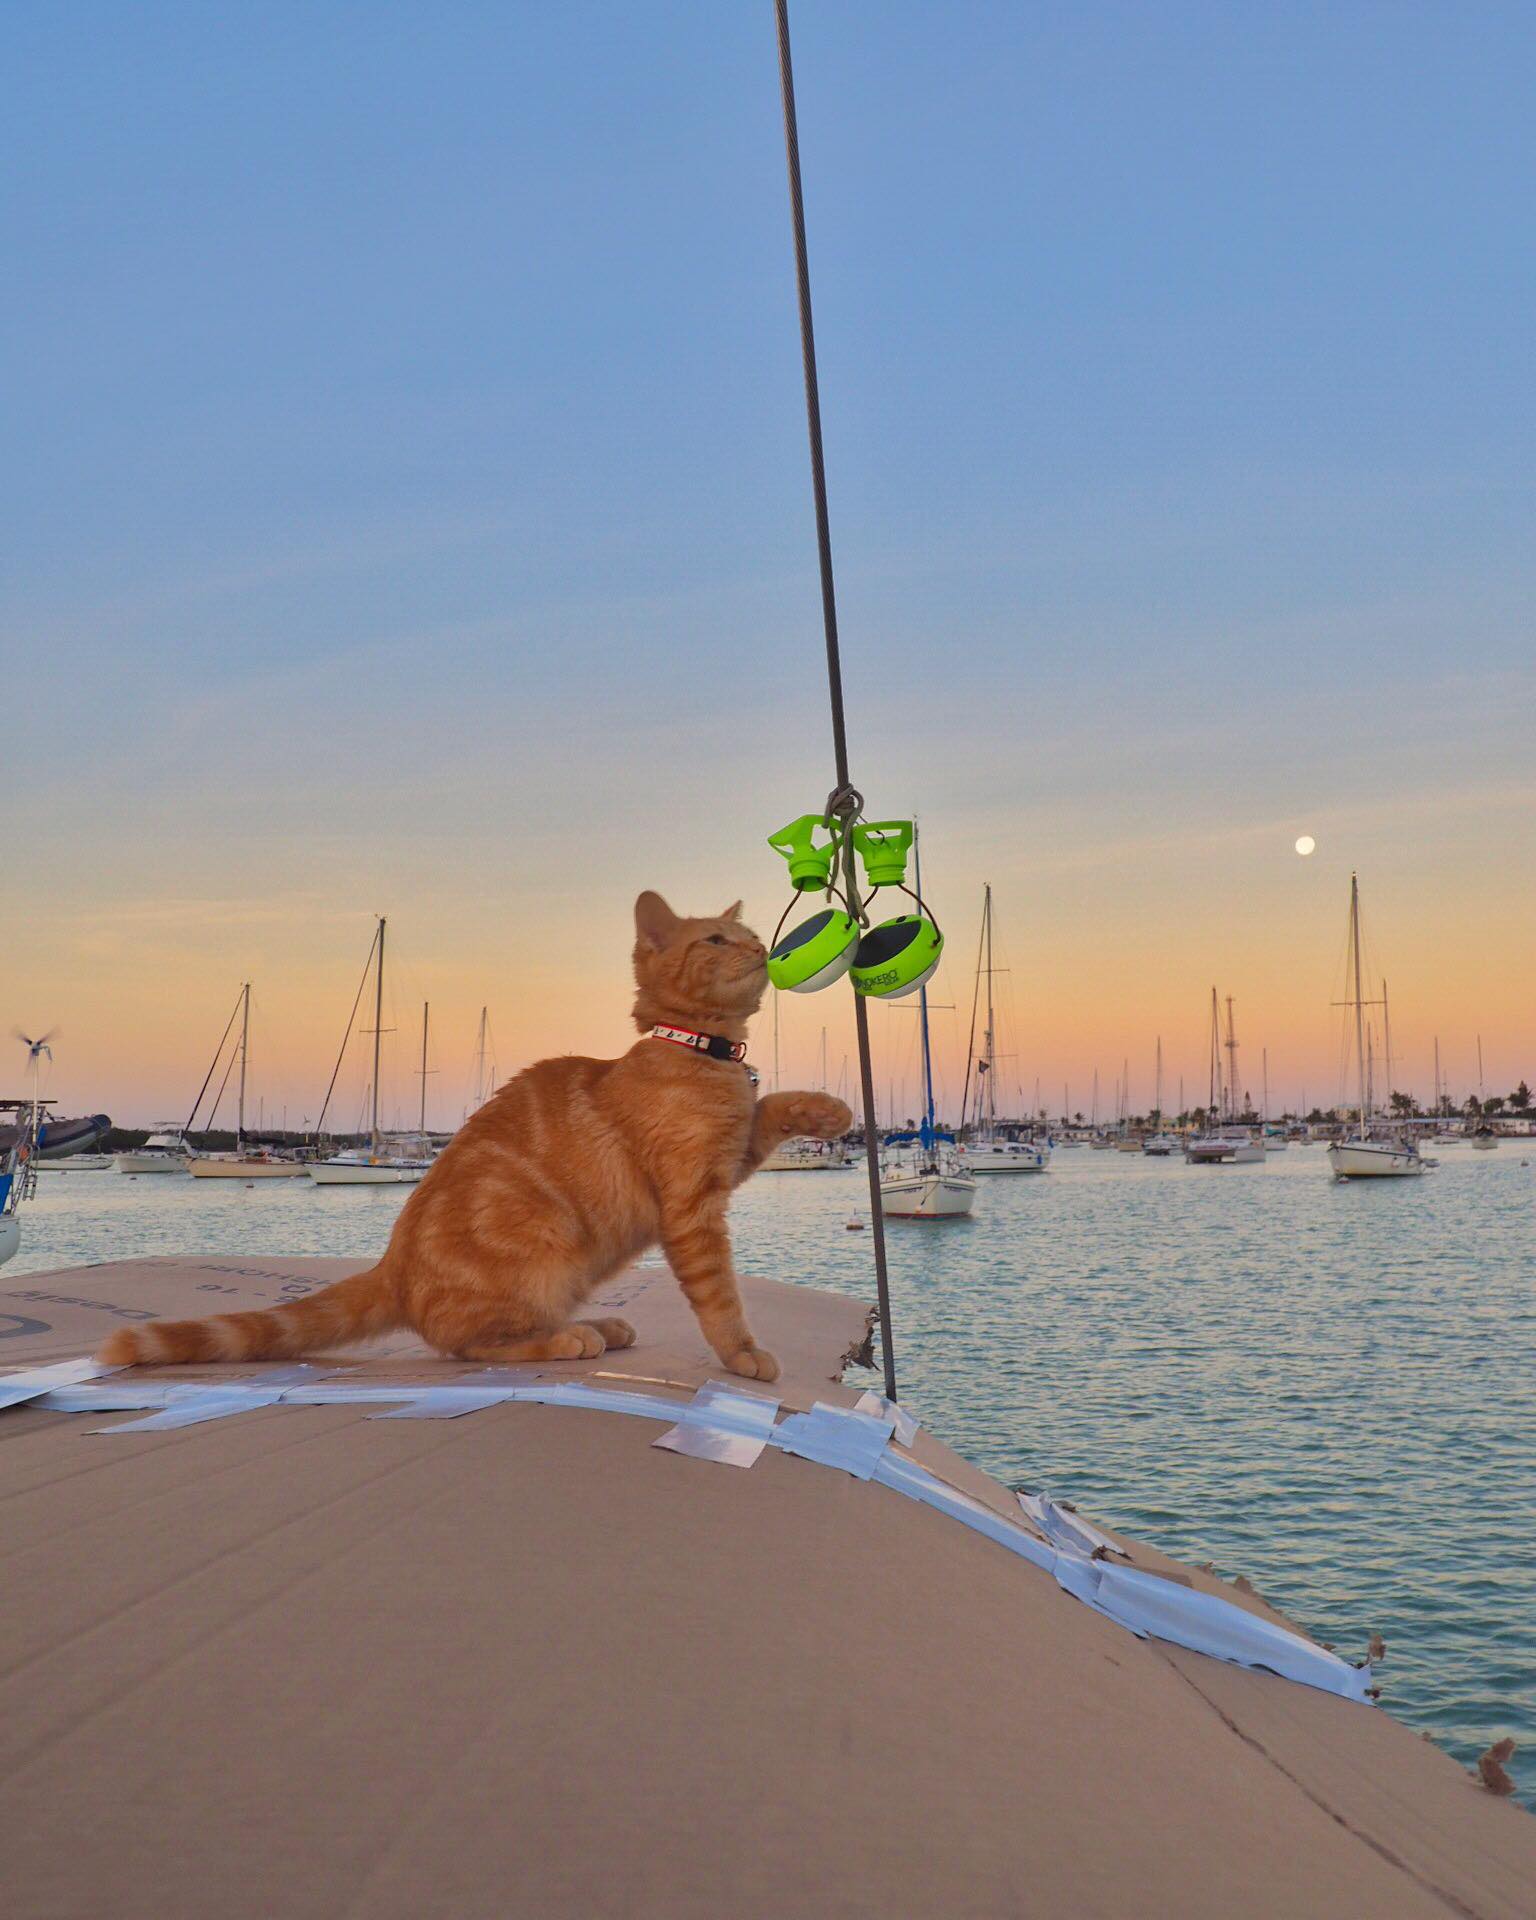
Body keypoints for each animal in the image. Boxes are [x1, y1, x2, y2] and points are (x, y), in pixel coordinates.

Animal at [98, 894, 852, 1382]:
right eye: (716, 940)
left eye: (746, 932)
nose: (760, 948)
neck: (701, 1053)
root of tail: (395, 1265)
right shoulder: (692, 1206)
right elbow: (720, 1298)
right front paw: (743, 1355)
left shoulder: (732, 1154)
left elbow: (772, 1104)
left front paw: (828, 1110)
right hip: (547, 1247)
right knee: (470, 1346)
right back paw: (573, 1339)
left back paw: (599, 1327)